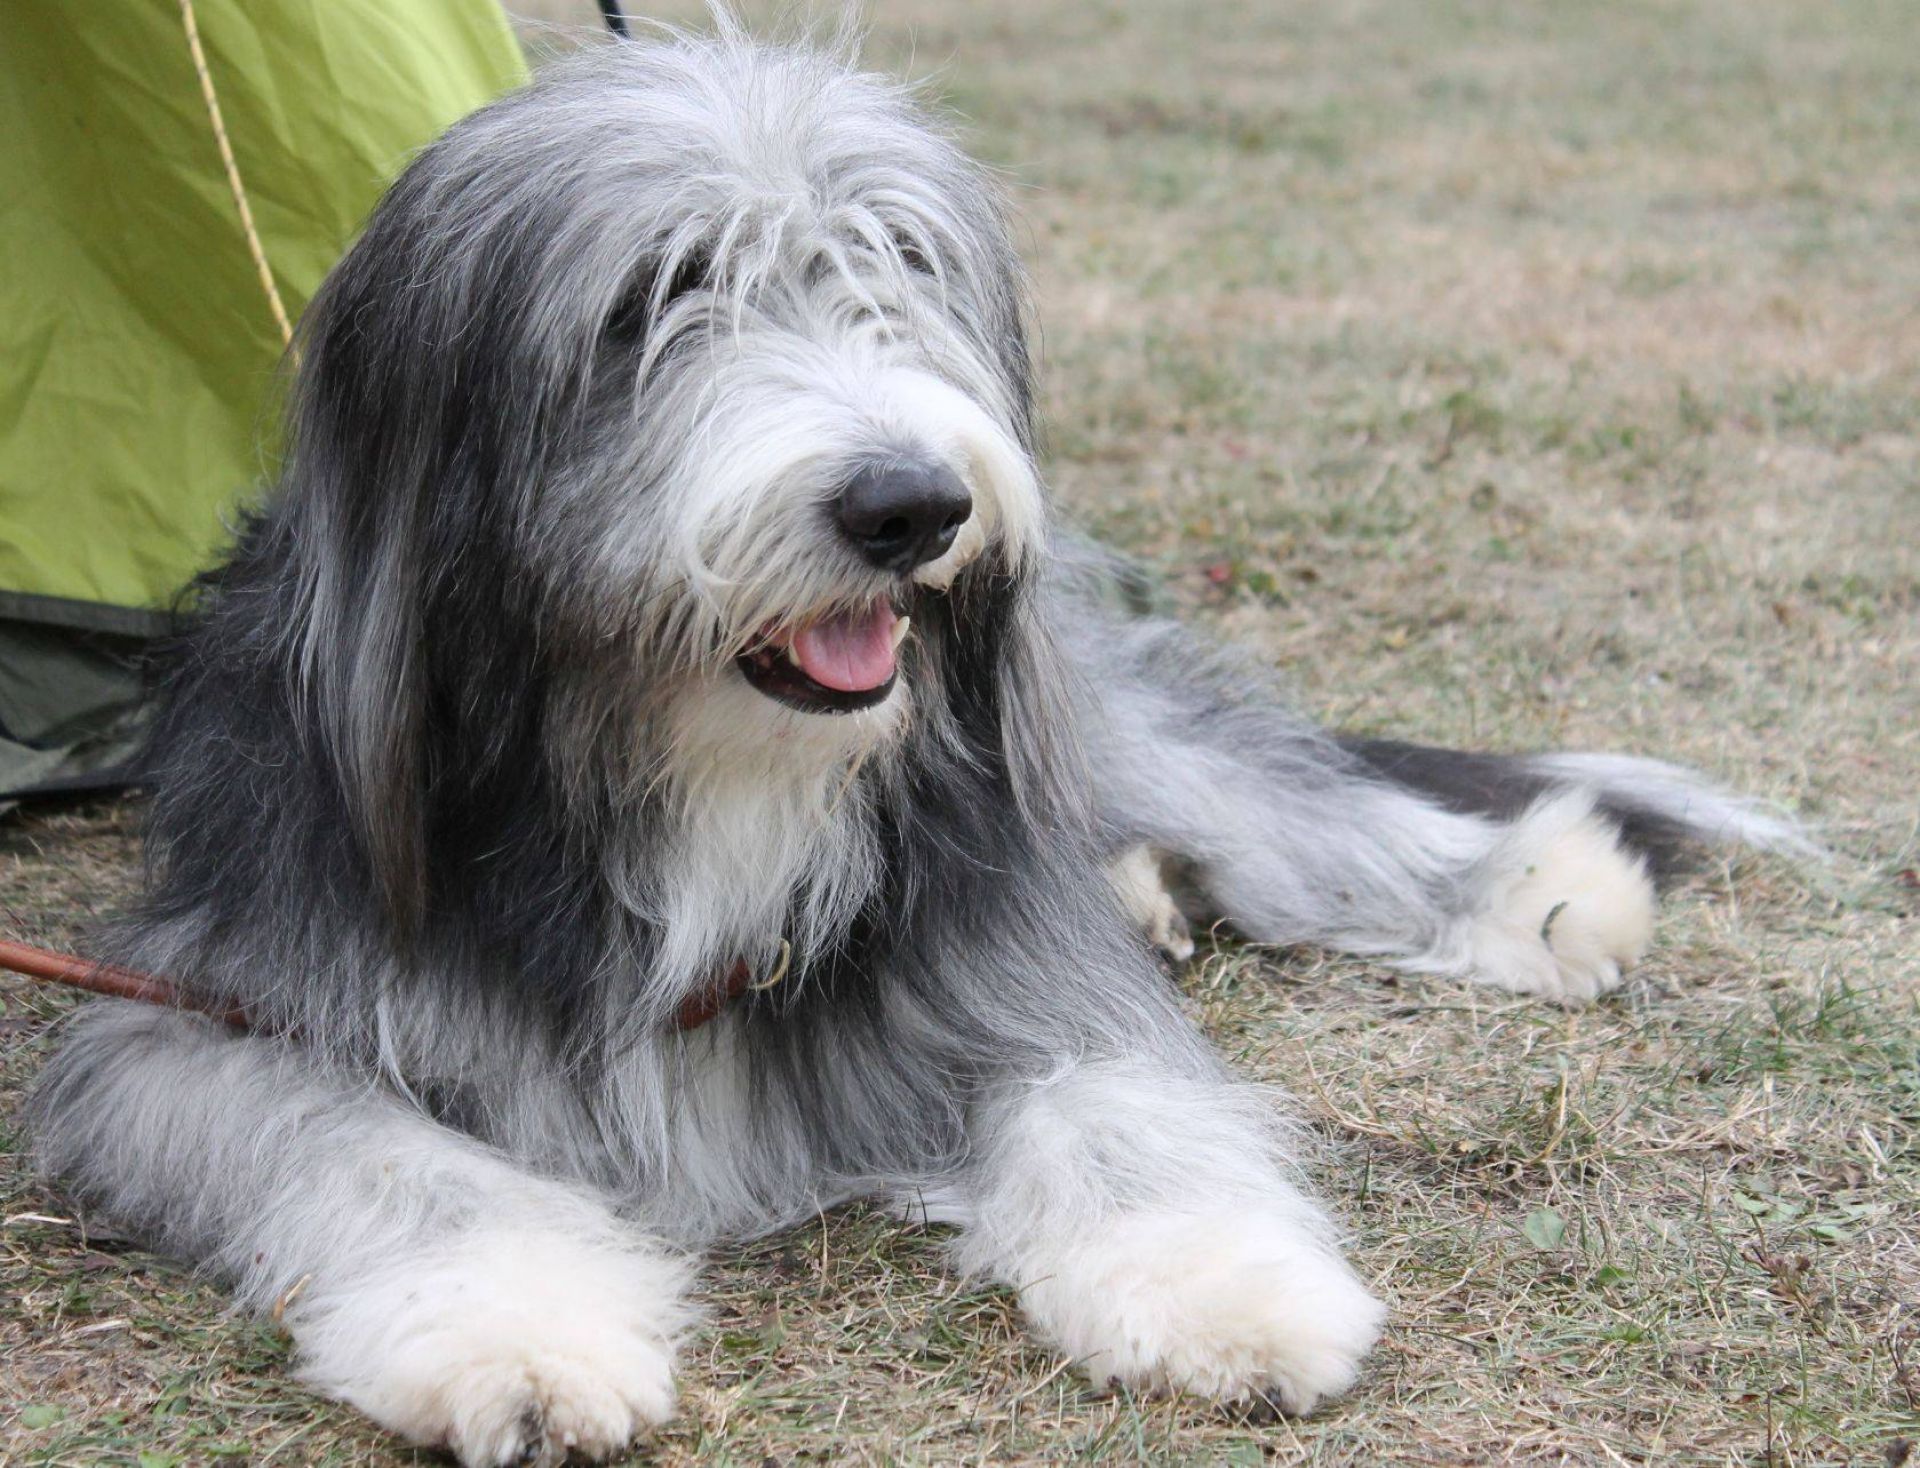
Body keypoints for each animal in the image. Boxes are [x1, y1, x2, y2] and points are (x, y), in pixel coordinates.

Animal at [28, 23, 1802, 1466]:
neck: (696, 763)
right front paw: (516, 1331)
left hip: (1063, 724)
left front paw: (1222, 1288)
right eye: (654, 298)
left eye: (895, 267)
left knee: (1274, 797)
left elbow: (1120, 1099)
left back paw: (1553, 891)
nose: (912, 506)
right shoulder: (201, 1017)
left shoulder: (994, 922)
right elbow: (391, 1156)